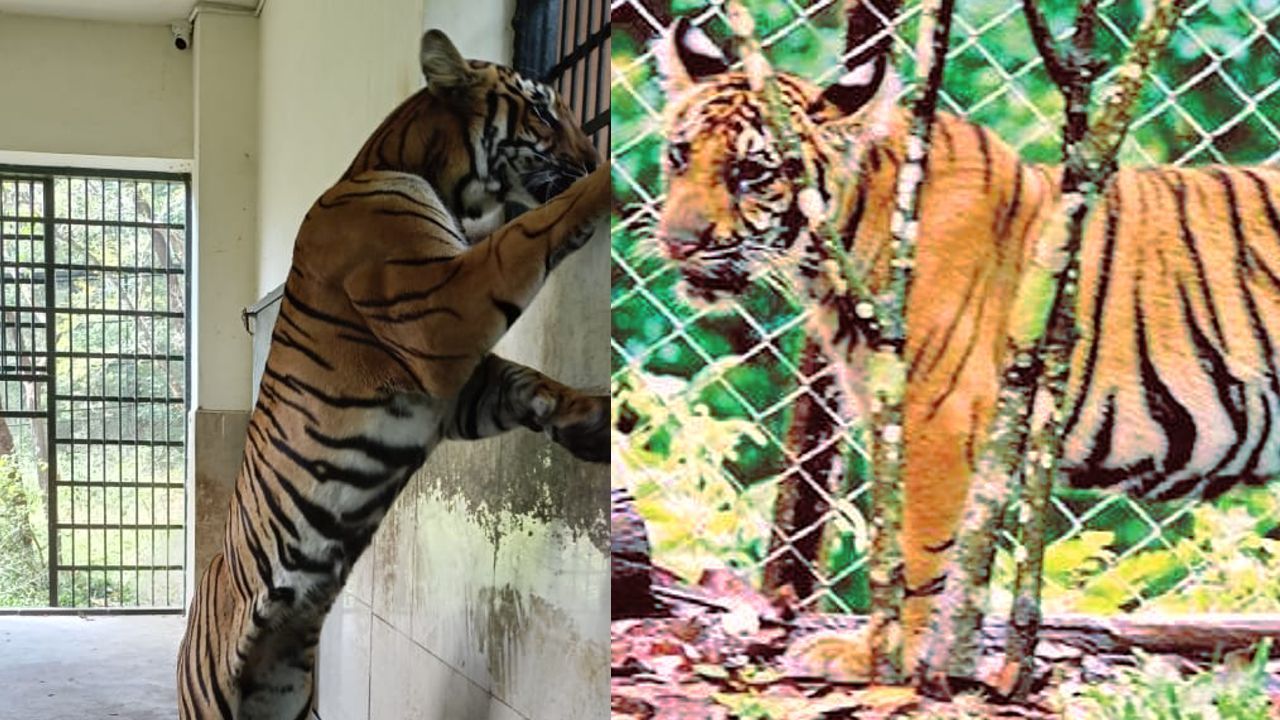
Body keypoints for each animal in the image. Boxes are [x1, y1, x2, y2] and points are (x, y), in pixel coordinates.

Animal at [176, 29, 609, 719]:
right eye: (543, 111)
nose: (593, 155)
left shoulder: (454, 386)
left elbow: (521, 380)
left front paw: (592, 422)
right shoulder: (441, 308)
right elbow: (532, 229)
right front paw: (614, 181)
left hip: (282, 690)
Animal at [651, 15, 1280, 676]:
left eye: (753, 172)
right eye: (679, 155)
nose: (676, 242)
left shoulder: (938, 416)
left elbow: (916, 552)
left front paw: (886, 660)